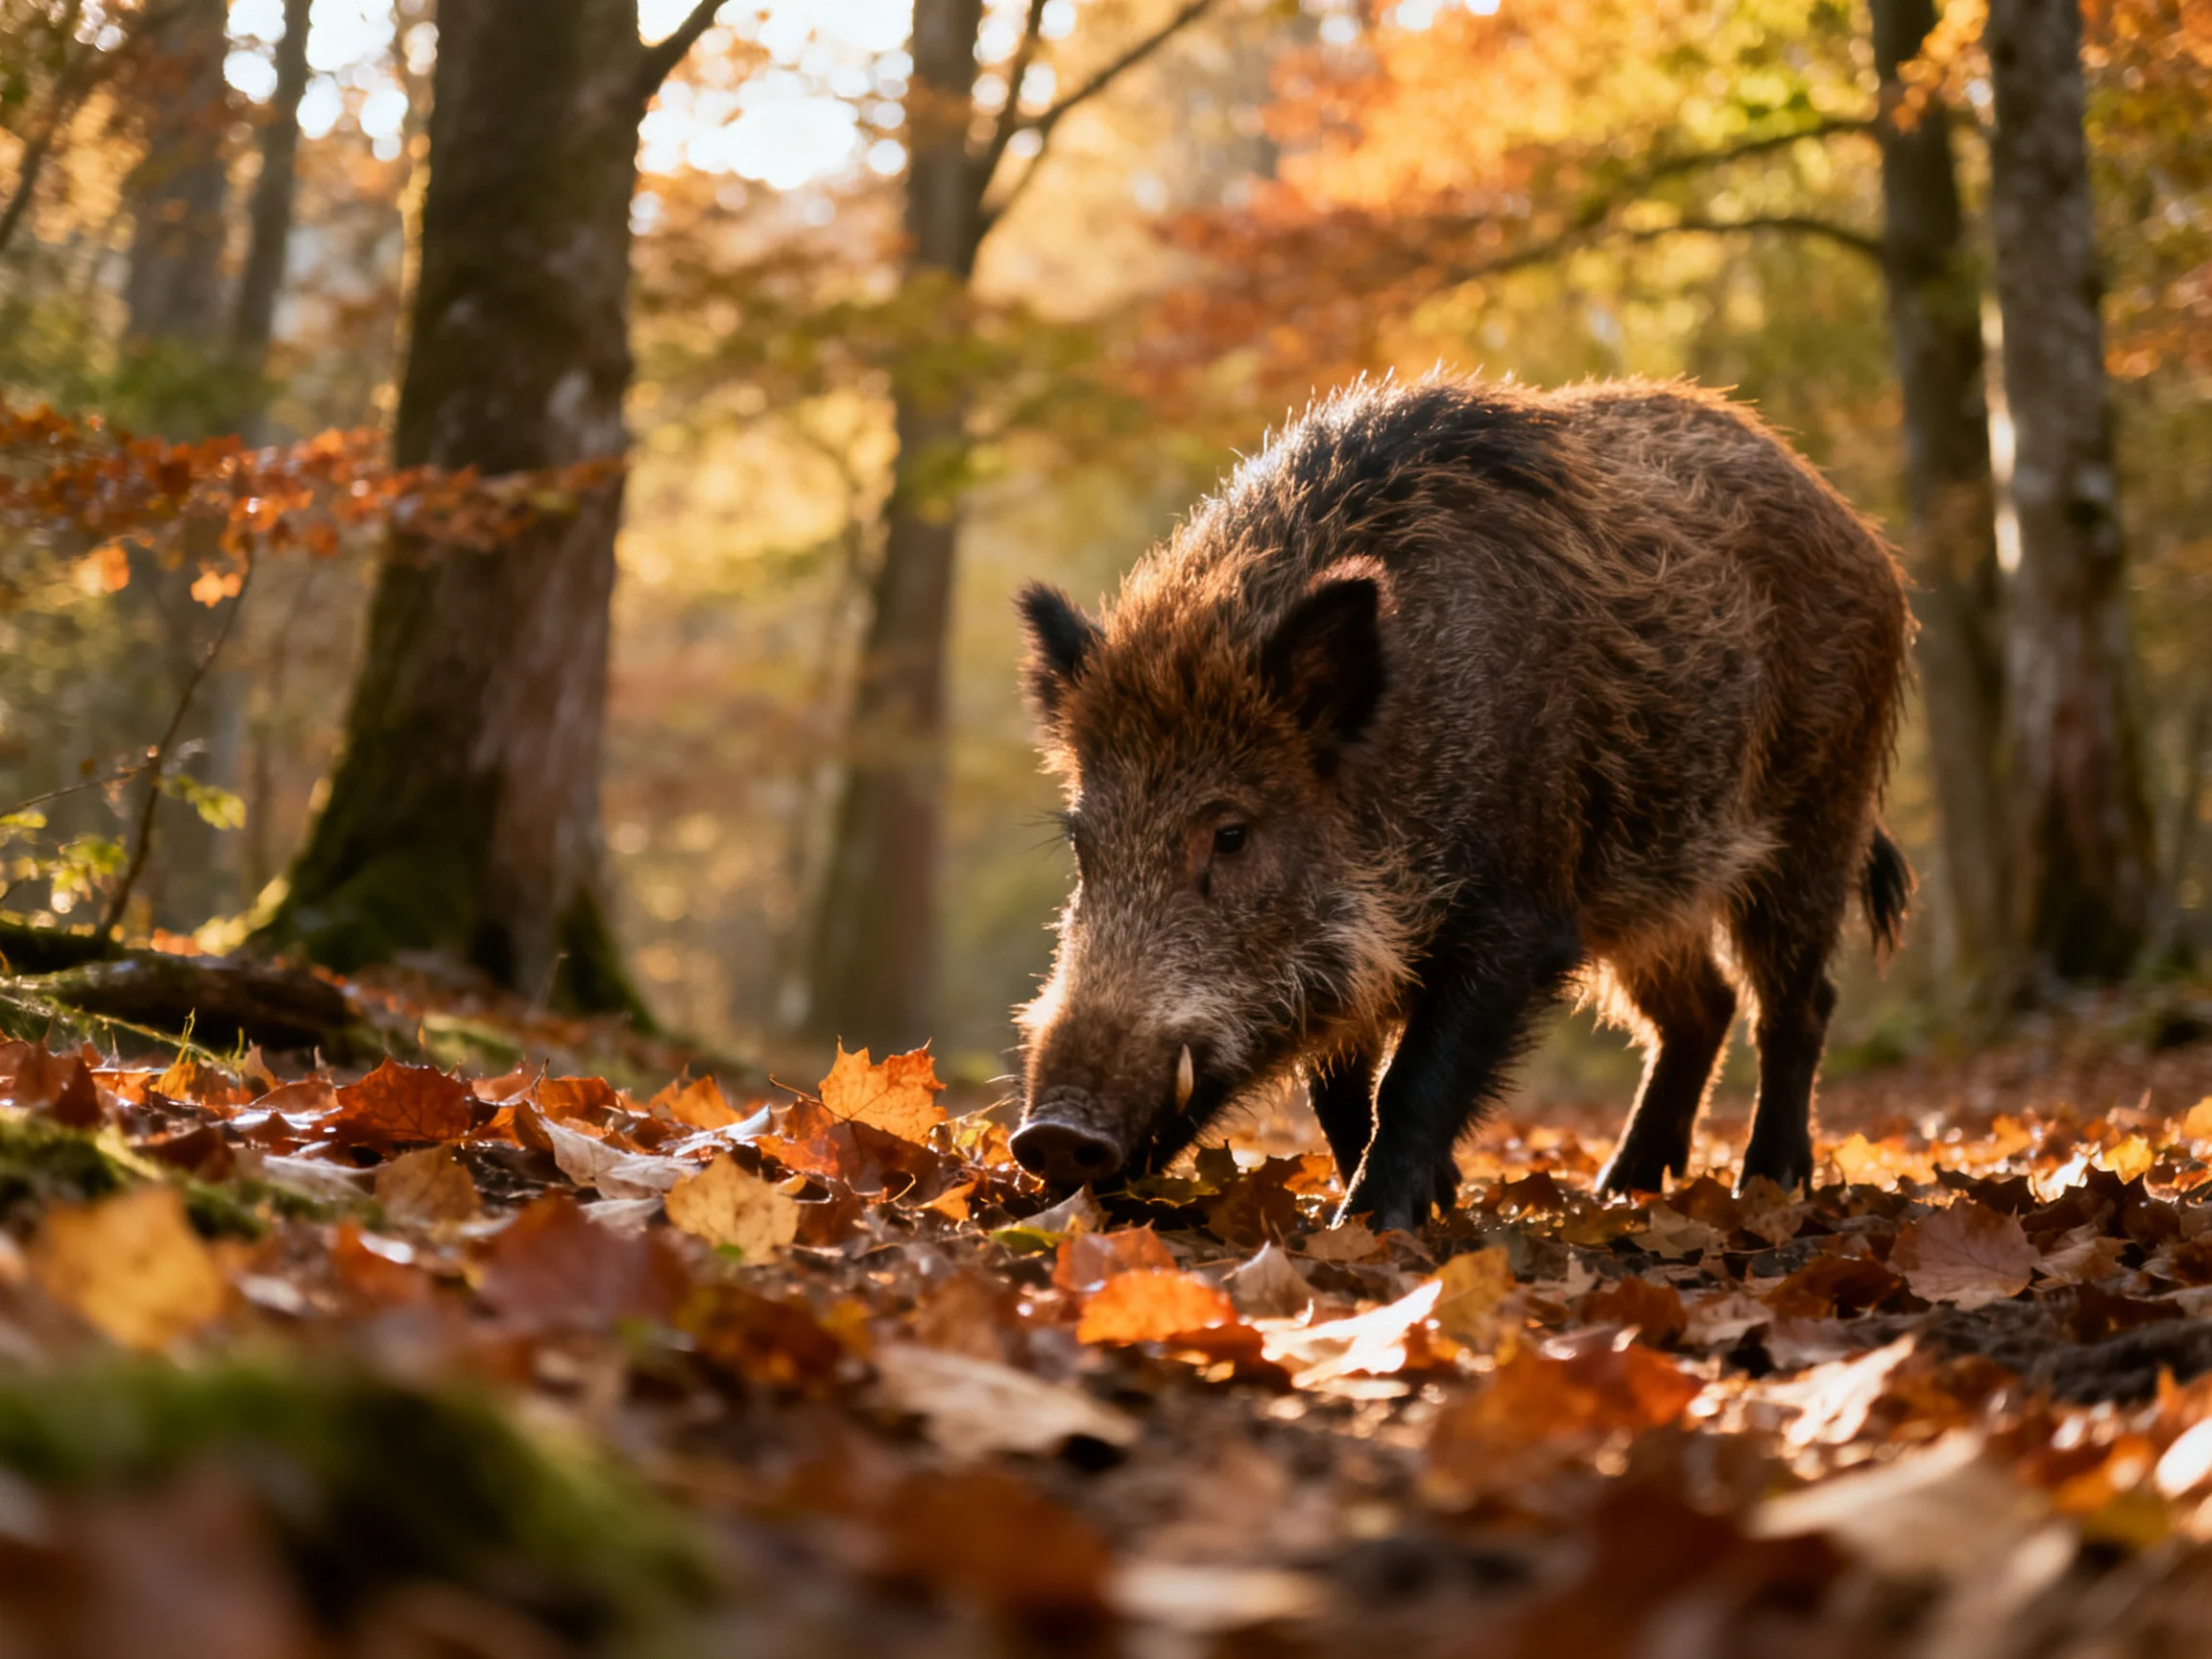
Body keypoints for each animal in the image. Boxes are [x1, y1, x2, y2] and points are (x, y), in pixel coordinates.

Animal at [1009, 376, 1911, 1233]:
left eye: (1231, 833)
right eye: (1083, 843)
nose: (1052, 1135)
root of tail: (1864, 536)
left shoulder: (1520, 914)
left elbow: (1413, 1079)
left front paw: (1375, 1223)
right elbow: (1340, 1088)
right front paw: (1428, 1201)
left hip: (1818, 813)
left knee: (1795, 1003)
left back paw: (1769, 1183)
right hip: (1647, 884)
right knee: (1701, 1007)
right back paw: (1621, 1188)